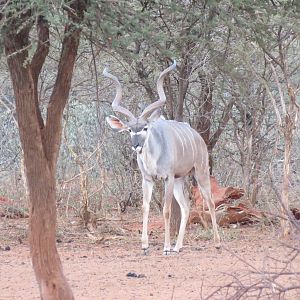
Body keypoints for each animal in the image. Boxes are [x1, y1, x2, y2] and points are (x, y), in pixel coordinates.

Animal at [103, 62, 220, 254]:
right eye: (130, 130)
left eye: (145, 128)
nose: (136, 146)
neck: (153, 159)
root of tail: (198, 137)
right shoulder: (147, 179)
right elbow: (145, 207)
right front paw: (145, 246)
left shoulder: (168, 178)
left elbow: (166, 210)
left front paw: (165, 247)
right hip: (180, 179)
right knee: (186, 207)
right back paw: (178, 247)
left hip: (200, 171)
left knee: (209, 202)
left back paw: (216, 243)